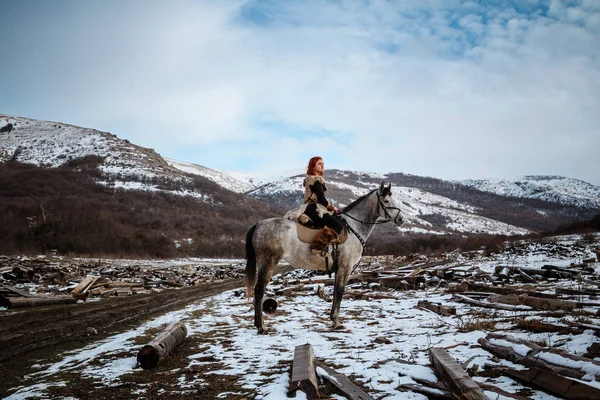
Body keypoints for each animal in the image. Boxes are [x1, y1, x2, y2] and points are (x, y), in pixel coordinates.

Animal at [244, 183, 404, 332]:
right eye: (386, 200)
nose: (401, 219)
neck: (353, 228)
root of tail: (258, 224)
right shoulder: (344, 268)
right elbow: (339, 292)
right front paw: (336, 322)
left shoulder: (339, 269)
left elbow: (335, 292)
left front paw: (333, 320)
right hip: (268, 263)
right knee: (259, 291)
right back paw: (261, 327)